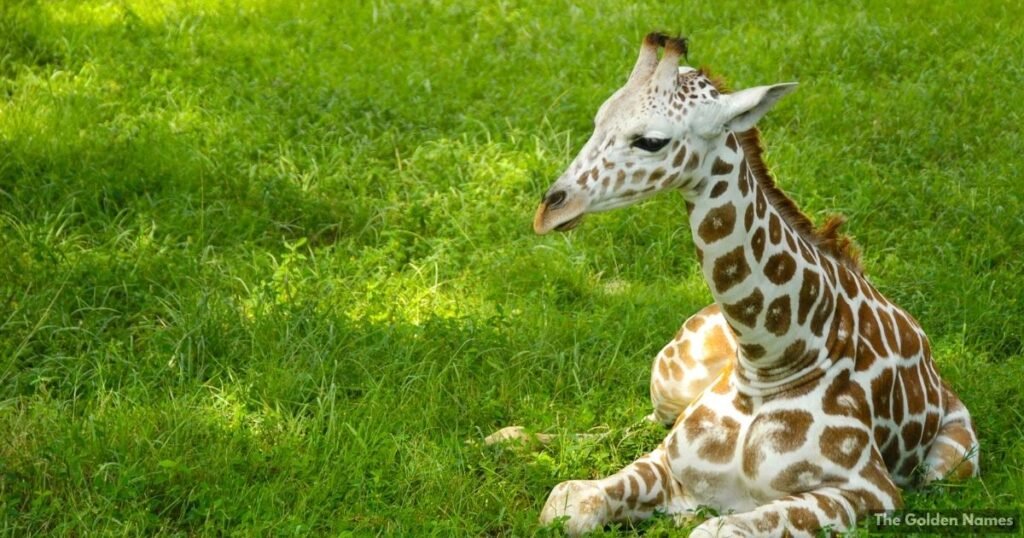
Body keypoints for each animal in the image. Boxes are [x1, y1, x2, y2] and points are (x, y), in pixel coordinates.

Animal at [529, 33, 979, 536]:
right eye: (599, 118)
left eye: (651, 141)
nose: (550, 209)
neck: (769, 361)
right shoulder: (670, 462)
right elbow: (570, 500)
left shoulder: (869, 491)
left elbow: (713, 527)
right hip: (669, 377)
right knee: (637, 422)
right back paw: (505, 438)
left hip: (950, 466)